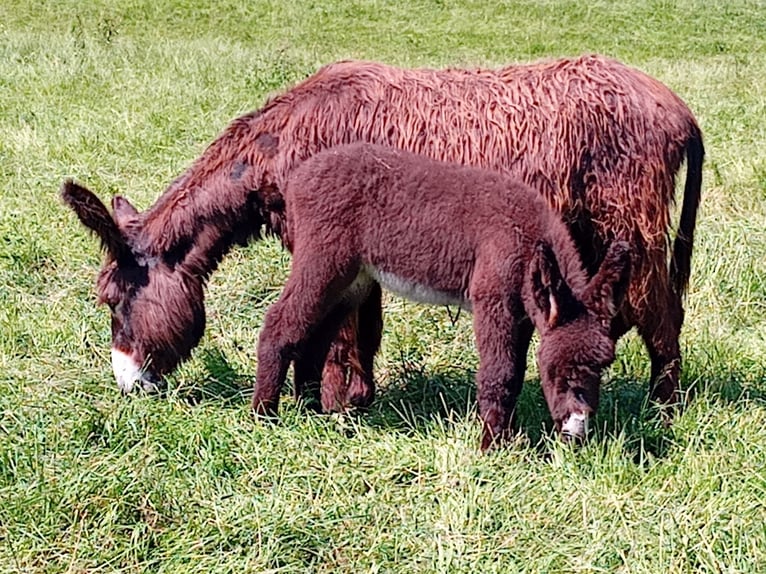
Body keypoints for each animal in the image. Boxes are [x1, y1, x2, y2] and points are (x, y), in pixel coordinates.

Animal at [255, 144, 632, 450]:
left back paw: (311, 412)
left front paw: (506, 439)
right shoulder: (494, 301)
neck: (529, 239)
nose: (577, 435)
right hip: (324, 260)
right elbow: (501, 374)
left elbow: (516, 373)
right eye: (562, 369)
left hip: (352, 280)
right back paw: (265, 416)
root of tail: (299, 176)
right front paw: (493, 449)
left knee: (315, 334)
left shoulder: (523, 311)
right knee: (280, 323)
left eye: (604, 366)